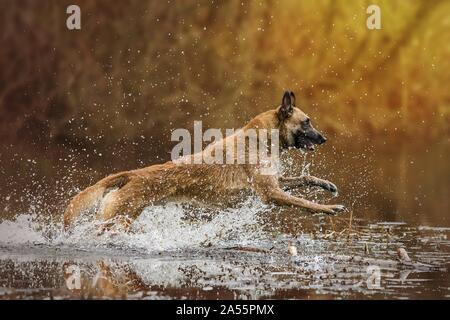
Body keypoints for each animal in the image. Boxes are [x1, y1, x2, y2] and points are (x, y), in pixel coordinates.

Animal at [62, 91, 344, 231]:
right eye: (306, 122)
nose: (324, 138)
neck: (262, 138)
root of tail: (132, 174)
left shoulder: (275, 183)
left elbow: (305, 178)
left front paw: (327, 185)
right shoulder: (270, 193)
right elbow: (305, 203)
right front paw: (329, 209)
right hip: (116, 219)